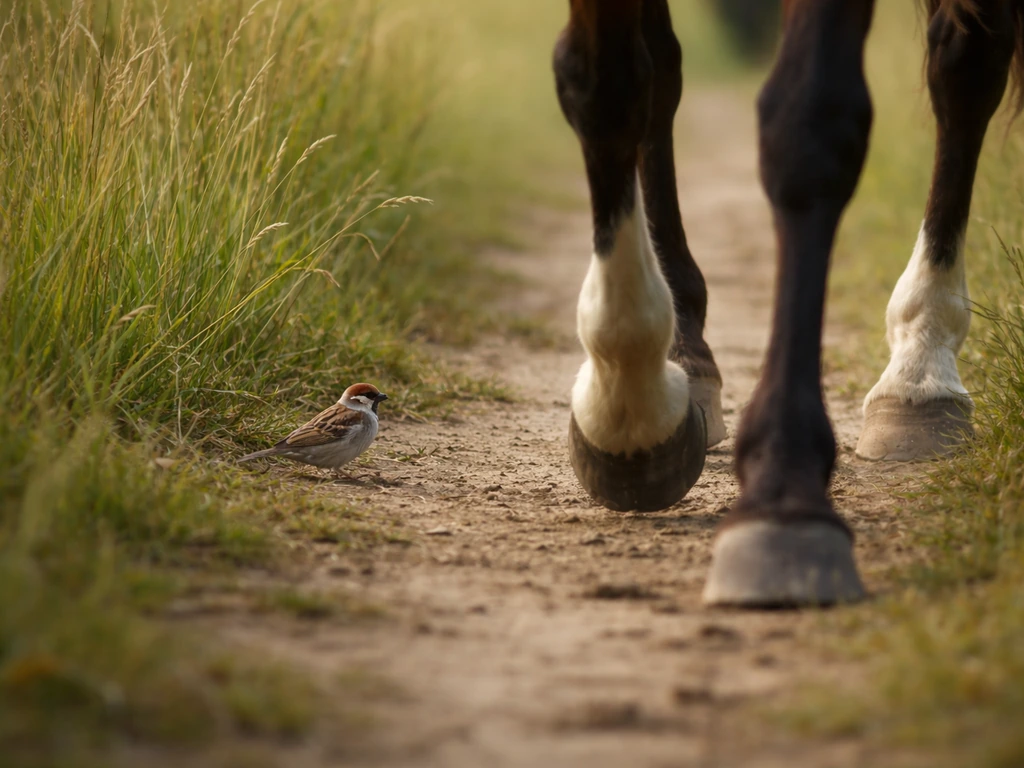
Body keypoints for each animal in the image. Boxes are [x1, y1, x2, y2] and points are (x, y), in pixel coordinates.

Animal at [553, 0, 1024, 607]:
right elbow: (607, 82)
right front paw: (627, 402)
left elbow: (809, 124)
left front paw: (782, 498)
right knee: (661, 64)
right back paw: (685, 349)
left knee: (964, 67)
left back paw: (919, 365)